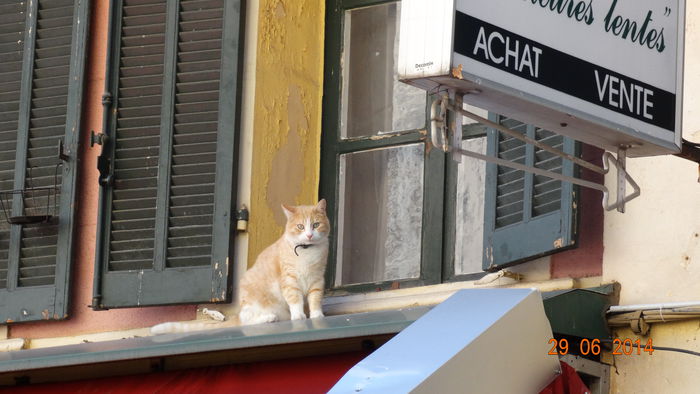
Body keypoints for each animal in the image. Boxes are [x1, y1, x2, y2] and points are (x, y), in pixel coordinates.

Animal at [149, 200, 330, 332]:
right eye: (300, 226)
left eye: (315, 225)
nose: (309, 235)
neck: (307, 251)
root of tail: (238, 313)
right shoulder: (289, 280)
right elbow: (295, 300)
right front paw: (299, 316)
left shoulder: (317, 279)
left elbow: (315, 299)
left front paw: (316, 315)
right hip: (255, 303)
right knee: (247, 321)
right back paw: (268, 318)